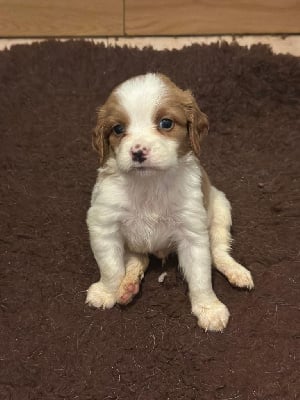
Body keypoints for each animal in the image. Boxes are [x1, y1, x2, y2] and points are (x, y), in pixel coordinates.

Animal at [85, 72, 254, 332]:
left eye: (166, 123)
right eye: (118, 129)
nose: (138, 152)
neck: (149, 183)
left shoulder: (192, 231)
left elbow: (201, 276)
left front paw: (209, 308)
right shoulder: (104, 224)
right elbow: (111, 266)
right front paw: (107, 291)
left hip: (220, 208)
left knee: (218, 250)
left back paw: (235, 270)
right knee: (138, 259)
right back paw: (128, 286)